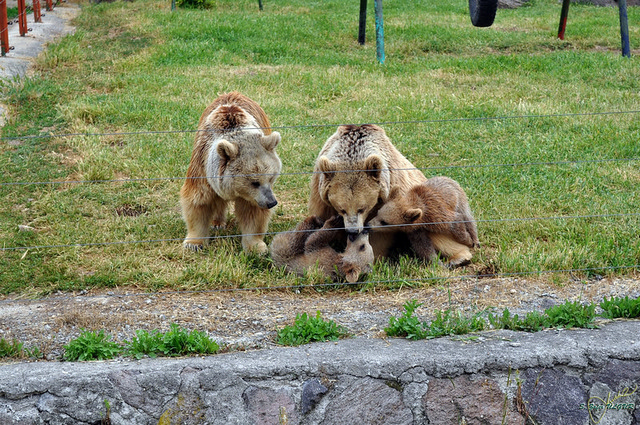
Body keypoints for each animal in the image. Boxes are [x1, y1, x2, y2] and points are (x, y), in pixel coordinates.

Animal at [180, 91, 280, 253]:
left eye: (271, 178)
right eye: (255, 182)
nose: (271, 202)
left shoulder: (254, 197)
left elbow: (253, 213)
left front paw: (256, 247)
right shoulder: (202, 165)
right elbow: (198, 201)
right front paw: (193, 243)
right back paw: (217, 222)